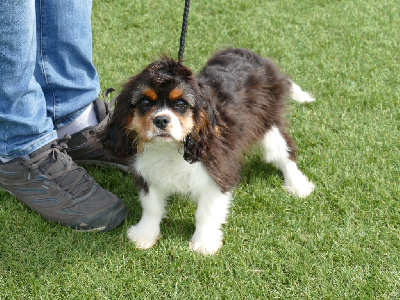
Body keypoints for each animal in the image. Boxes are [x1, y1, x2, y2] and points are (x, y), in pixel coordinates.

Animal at [101, 48, 314, 254]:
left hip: (269, 123)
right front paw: (144, 236)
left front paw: (204, 244)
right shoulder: (147, 173)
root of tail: (256, 57)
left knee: (284, 153)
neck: (170, 148)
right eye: (144, 103)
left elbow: (206, 213)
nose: (161, 120)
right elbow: (151, 207)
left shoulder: (218, 172)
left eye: (181, 104)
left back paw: (298, 185)